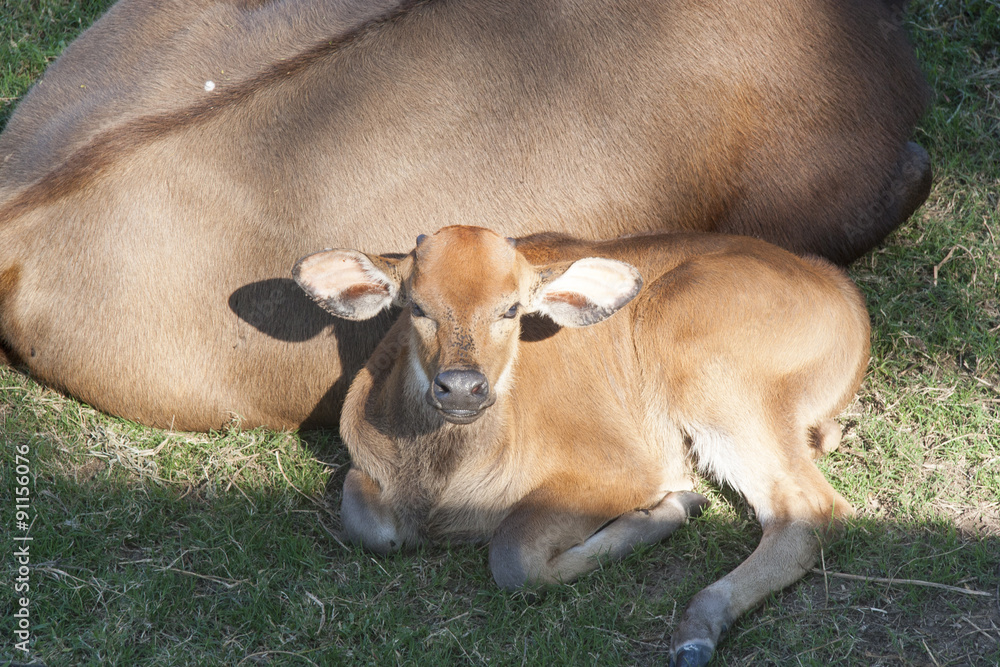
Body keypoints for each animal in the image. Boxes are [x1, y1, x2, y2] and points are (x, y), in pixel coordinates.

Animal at [292, 227, 872, 664]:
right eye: (416, 306)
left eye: (512, 309)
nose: (460, 386)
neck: (445, 481)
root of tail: (835, 285)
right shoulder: (366, 469)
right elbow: (370, 525)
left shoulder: (628, 469)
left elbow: (514, 555)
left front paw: (669, 510)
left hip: (707, 368)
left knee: (811, 510)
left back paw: (697, 627)